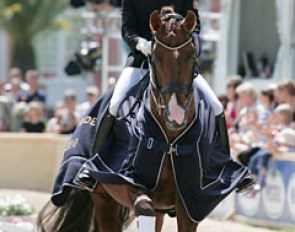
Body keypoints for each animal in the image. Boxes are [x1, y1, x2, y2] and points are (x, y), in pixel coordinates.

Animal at [38, 7, 201, 232]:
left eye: (191, 56)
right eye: (156, 58)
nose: (175, 114)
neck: (168, 140)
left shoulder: (189, 203)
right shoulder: (130, 184)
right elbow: (144, 207)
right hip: (103, 198)